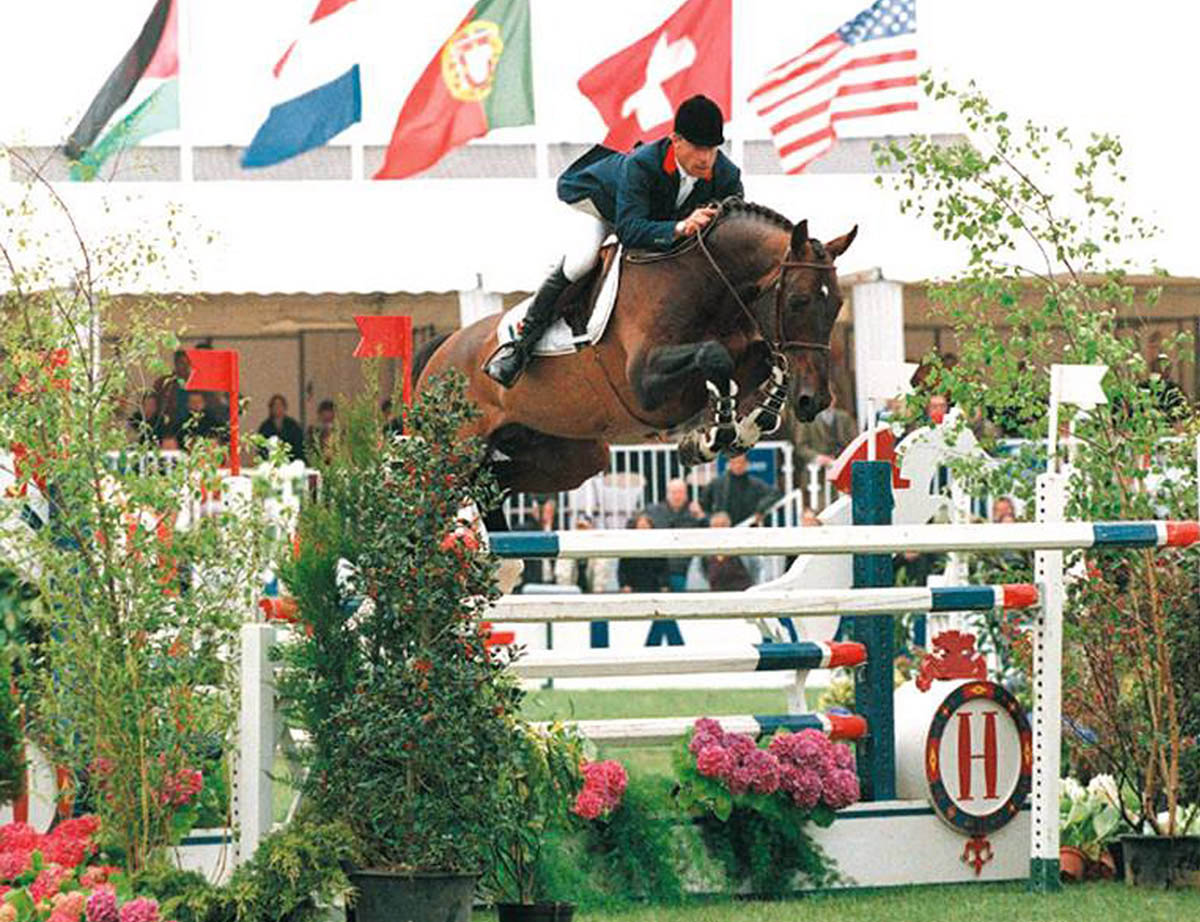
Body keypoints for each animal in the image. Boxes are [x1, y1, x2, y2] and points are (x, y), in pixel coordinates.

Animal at [416, 199, 857, 501]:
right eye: (798, 300)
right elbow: (715, 356)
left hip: (571, 456)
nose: (816, 401)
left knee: (492, 482)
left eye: (836, 304)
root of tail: (440, 351)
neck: (704, 282)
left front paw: (736, 429)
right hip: (453, 450)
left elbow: (764, 363)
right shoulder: (644, 385)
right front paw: (716, 432)